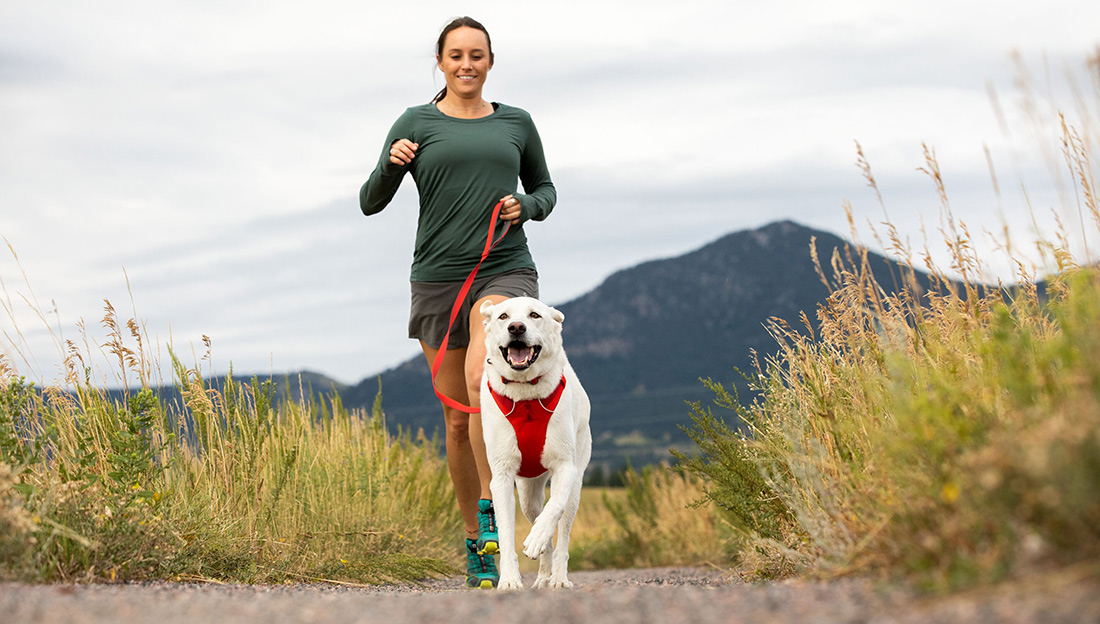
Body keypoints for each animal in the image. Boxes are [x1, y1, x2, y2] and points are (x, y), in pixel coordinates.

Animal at [477, 297, 589, 589]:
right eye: (503, 316)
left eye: (535, 315)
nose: (516, 327)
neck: (526, 395)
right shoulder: (502, 476)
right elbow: (505, 533)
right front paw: (509, 580)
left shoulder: (565, 467)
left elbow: (554, 507)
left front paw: (537, 537)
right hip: (528, 494)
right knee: (540, 521)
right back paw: (543, 576)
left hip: (576, 487)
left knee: (561, 535)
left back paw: (558, 577)